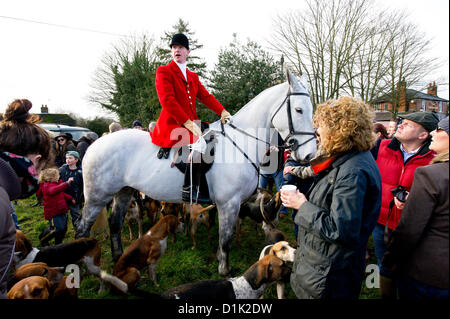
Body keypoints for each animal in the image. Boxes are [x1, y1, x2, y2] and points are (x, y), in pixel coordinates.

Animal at [76, 71, 316, 276]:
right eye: (299, 110)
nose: (310, 154)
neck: (240, 142)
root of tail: (94, 144)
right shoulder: (229, 203)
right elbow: (226, 239)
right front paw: (224, 271)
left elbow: (222, 238)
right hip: (97, 197)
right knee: (82, 229)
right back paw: (82, 270)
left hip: (123, 192)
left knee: (115, 224)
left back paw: (118, 260)